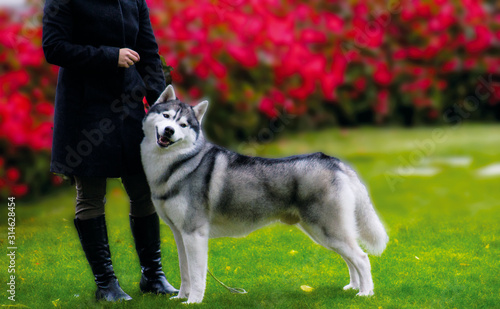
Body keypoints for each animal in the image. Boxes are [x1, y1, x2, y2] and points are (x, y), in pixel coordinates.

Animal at [142, 85, 390, 304]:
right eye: (166, 116)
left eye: (183, 124)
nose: (169, 131)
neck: (177, 164)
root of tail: (334, 161)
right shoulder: (180, 234)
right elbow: (184, 272)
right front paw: (180, 297)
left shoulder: (194, 233)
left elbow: (196, 275)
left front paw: (193, 301)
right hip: (324, 232)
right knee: (350, 257)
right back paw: (354, 286)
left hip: (327, 229)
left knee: (361, 258)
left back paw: (365, 293)